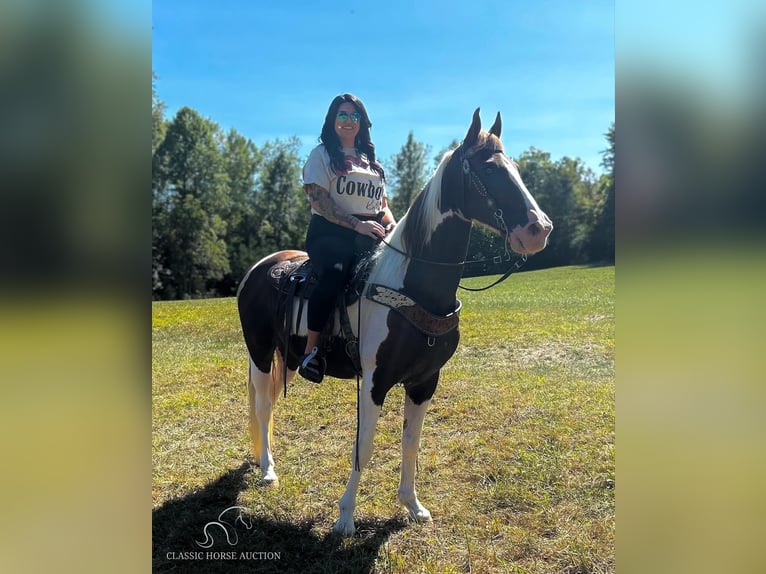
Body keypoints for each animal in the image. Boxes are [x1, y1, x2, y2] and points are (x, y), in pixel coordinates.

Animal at [237, 110, 556, 536]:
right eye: (488, 170)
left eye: (516, 168)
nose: (539, 230)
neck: (413, 284)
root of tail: (262, 266)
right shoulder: (374, 381)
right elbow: (365, 444)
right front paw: (345, 517)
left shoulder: (424, 382)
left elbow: (411, 442)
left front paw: (413, 506)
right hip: (259, 351)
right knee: (263, 406)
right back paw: (268, 470)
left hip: (286, 357)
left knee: (270, 401)